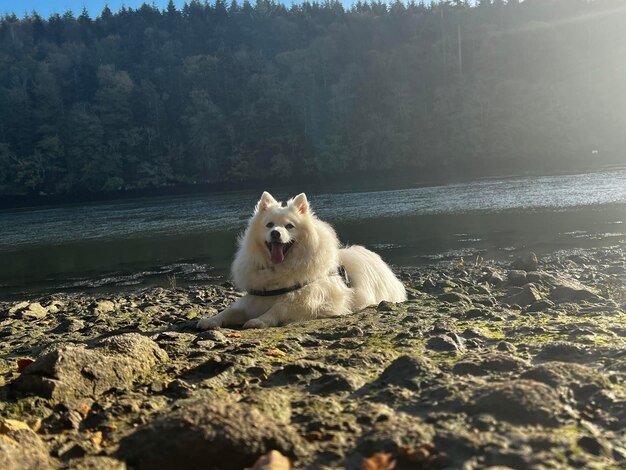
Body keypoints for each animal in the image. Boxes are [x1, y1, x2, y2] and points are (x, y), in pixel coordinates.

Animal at [197, 191, 408, 330]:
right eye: (269, 225)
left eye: (289, 226)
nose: (275, 233)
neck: (278, 271)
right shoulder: (254, 299)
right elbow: (229, 311)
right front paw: (210, 320)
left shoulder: (311, 300)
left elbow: (280, 308)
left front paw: (260, 320)